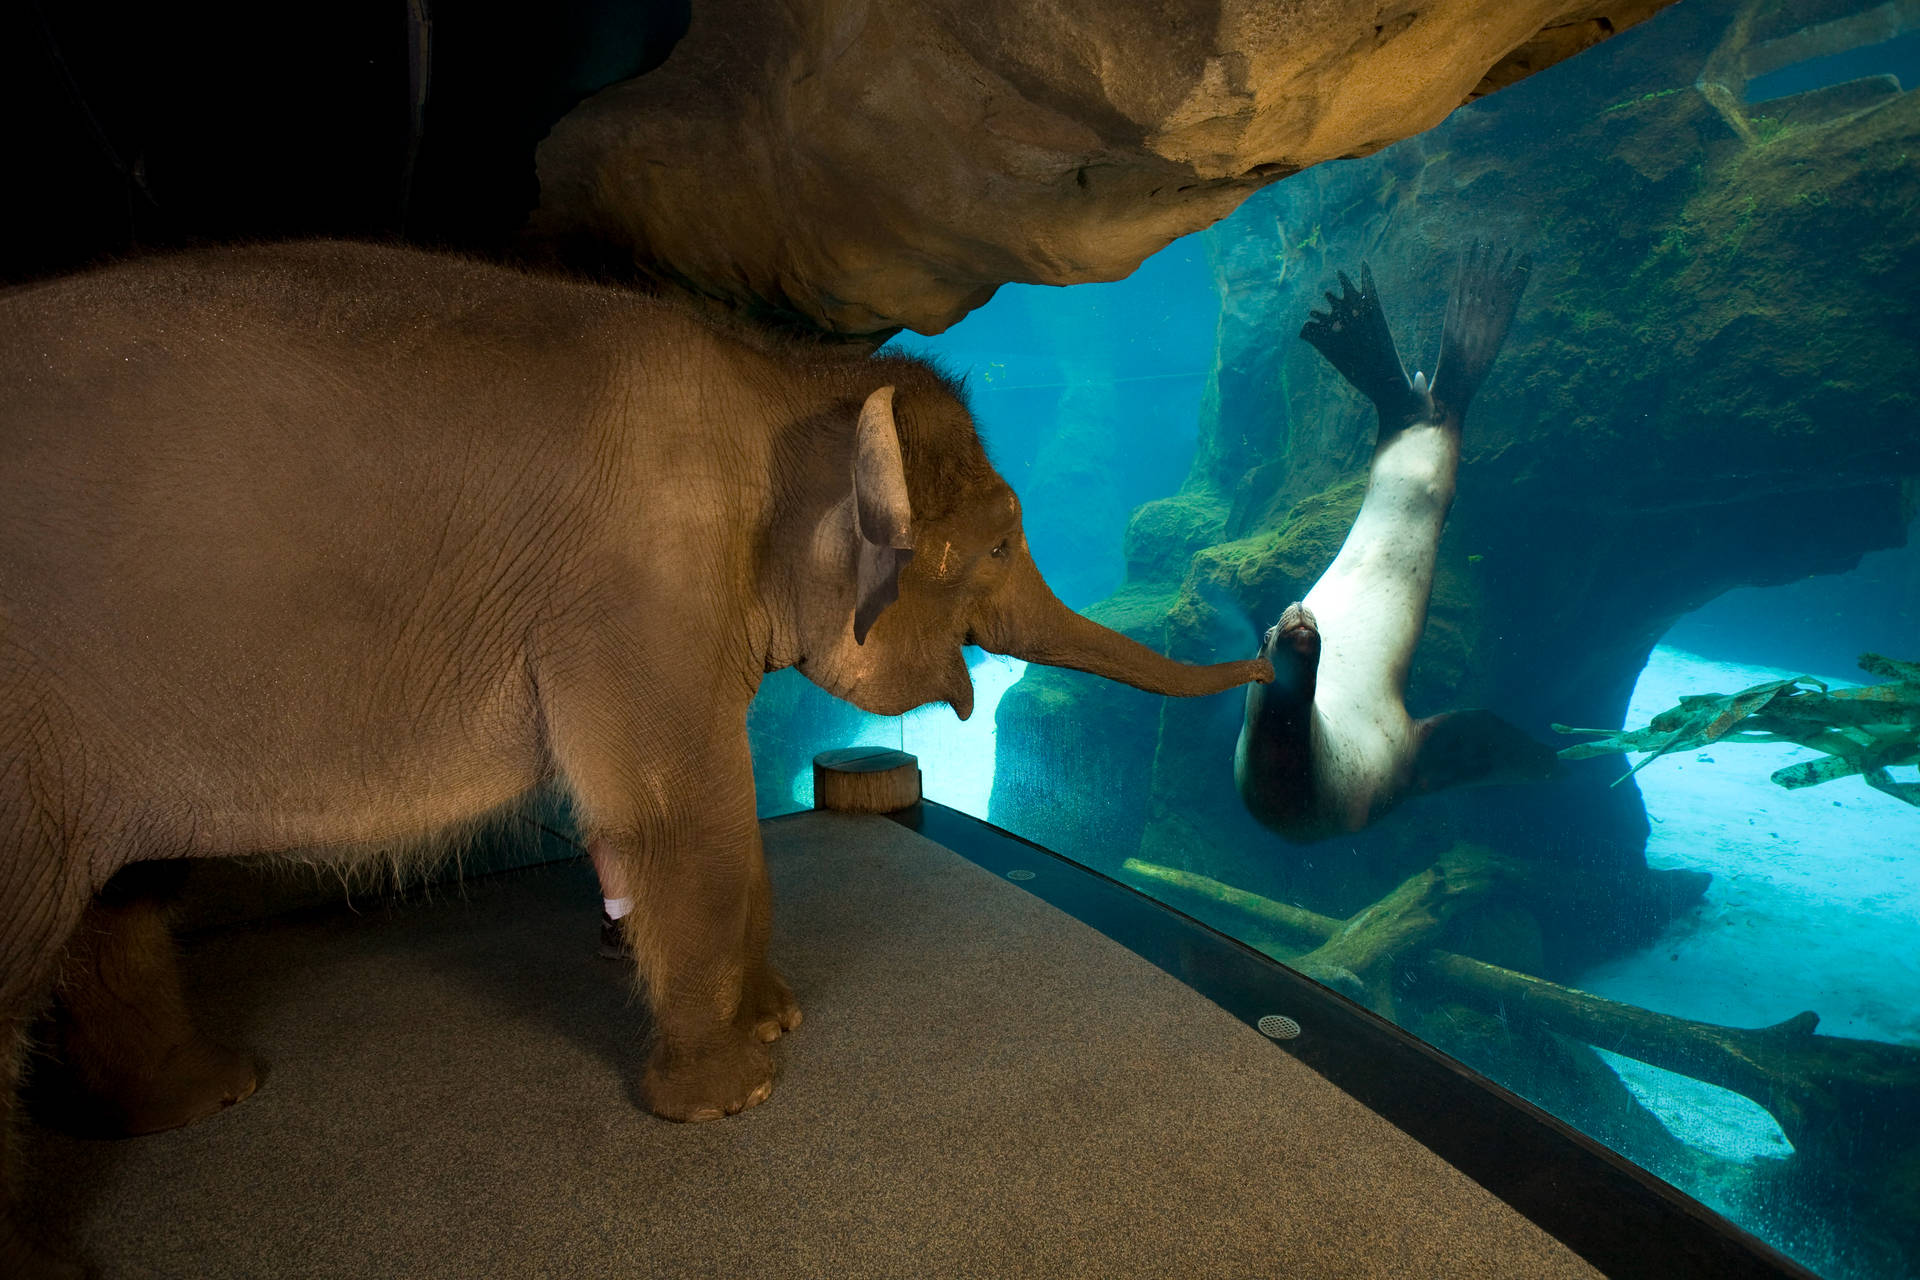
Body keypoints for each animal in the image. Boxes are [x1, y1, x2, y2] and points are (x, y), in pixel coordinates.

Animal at [0, 239, 1274, 1274]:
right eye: (1004, 541)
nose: (1273, 654)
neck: (777, 376)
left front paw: (776, 1019)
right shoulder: (635, 586)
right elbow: (680, 818)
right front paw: (730, 1095)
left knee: (119, 897)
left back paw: (203, 1096)